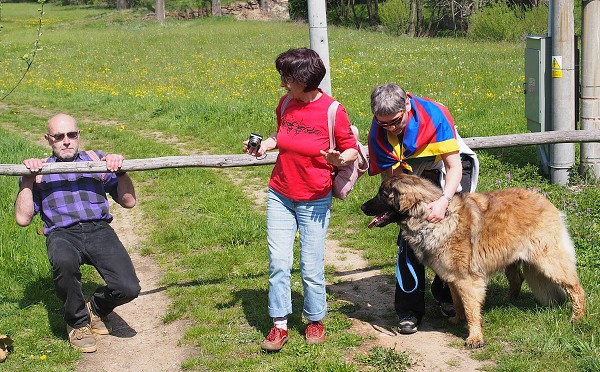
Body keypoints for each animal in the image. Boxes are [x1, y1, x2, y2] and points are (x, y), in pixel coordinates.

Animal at [360, 173, 584, 348]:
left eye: (382, 194)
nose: (362, 206)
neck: (432, 218)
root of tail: (544, 199)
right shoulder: (453, 278)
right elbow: (458, 303)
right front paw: (457, 320)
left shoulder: (468, 280)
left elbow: (470, 310)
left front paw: (475, 337)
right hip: (511, 259)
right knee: (517, 279)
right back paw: (508, 301)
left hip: (548, 260)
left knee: (576, 288)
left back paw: (577, 318)